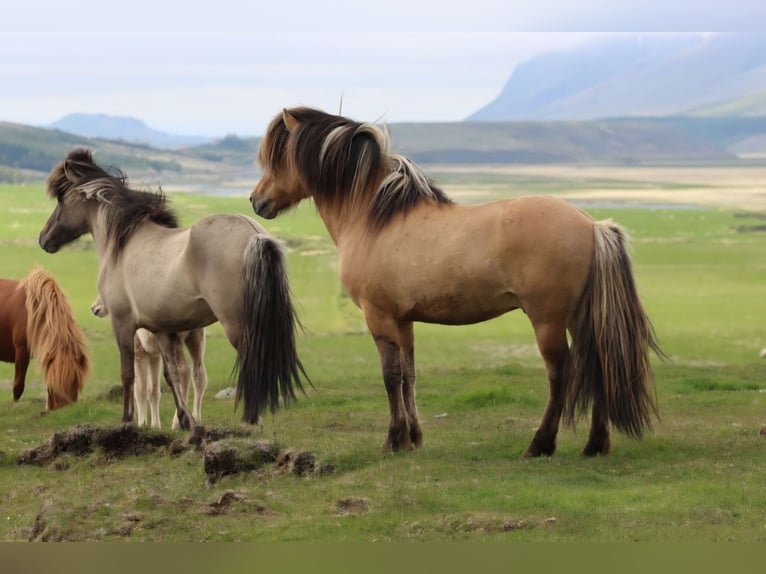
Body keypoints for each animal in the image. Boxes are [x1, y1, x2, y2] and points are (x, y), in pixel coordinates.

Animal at [91, 296, 207, 430]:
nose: (94, 308)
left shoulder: (139, 352)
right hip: (196, 337)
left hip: (174, 342)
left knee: (184, 370)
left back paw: (177, 422)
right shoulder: (154, 356)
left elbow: (140, 389)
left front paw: (142, 424)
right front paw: (155, 426)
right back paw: (196, 418)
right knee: (199, 373)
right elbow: (154, 391)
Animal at [250, 106, 664, 457]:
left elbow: (390, 376)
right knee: (598, 364)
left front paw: (393, 440)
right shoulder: (403, 320)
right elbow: (409, 376)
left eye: (278, 158)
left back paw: (540, 445)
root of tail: (591, 225)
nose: (256, 201)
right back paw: (595, 444)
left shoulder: (378, 316)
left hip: (547, 320)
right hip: (581, 317)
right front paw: (413, 439)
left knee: (560, 373)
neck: (373, 219)